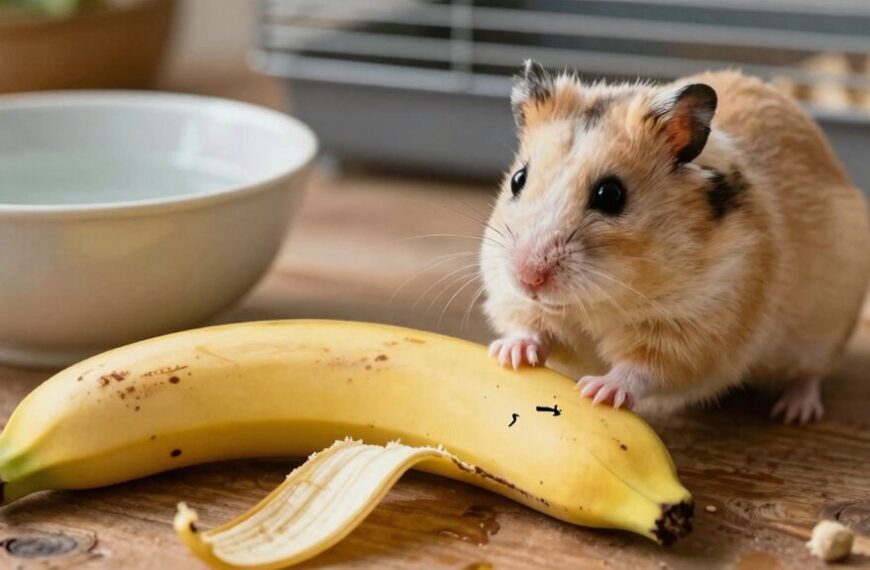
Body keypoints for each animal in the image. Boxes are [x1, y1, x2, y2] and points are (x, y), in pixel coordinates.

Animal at [480, 60, 870, 423]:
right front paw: (507, 354)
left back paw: (795, 412)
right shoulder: (516, 298)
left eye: (611, 195)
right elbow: (531, 327)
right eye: (518, 179)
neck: (602, 300)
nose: (528, 277)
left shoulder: (694, 329)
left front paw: (597, 391)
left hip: (823, 332)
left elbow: (642, 368)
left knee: (811, 375)